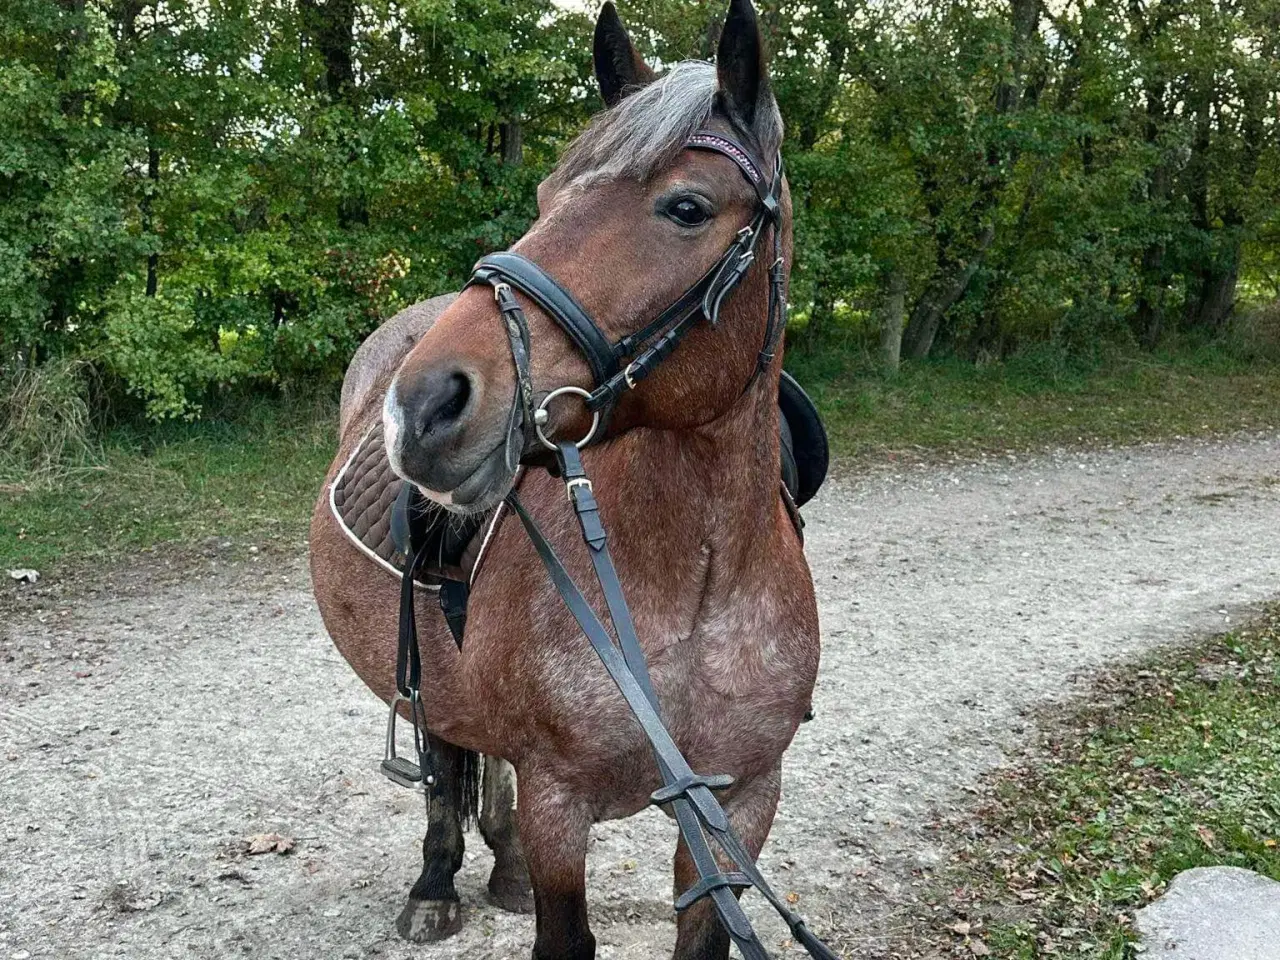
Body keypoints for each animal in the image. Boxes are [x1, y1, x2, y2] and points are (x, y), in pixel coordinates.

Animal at [314, 3, 824, 957]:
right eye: (549, 198)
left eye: (687, 207)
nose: (424, 406)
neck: (693, 589)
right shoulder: (561, 803)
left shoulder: (740, 802)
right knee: (445, 753)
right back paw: (436, 882)